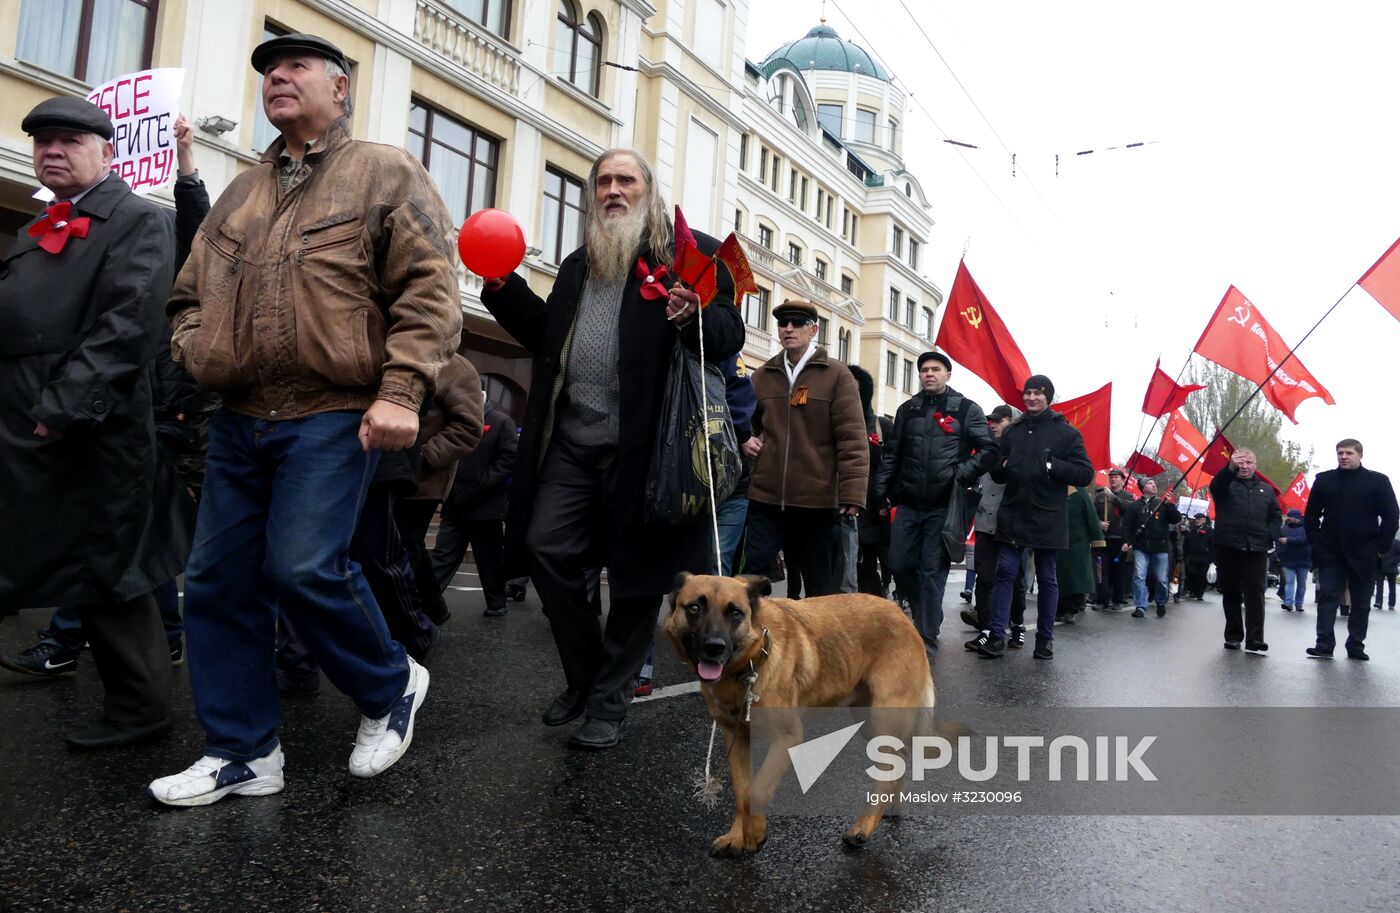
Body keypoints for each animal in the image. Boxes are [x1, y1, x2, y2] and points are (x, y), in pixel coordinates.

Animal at [663, 571, 935, 856]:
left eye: (735, 613)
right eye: (695, 608)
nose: (714, 647)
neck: (752, 662)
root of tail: (902, 615)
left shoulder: (787, 739)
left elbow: (755, 792)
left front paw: (755, 834)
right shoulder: (736, 739)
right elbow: (741, 791)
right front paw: (738, 835)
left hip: (882, 716)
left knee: (889, 768)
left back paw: (862, 828)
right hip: (868, 720)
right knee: (898, 760)